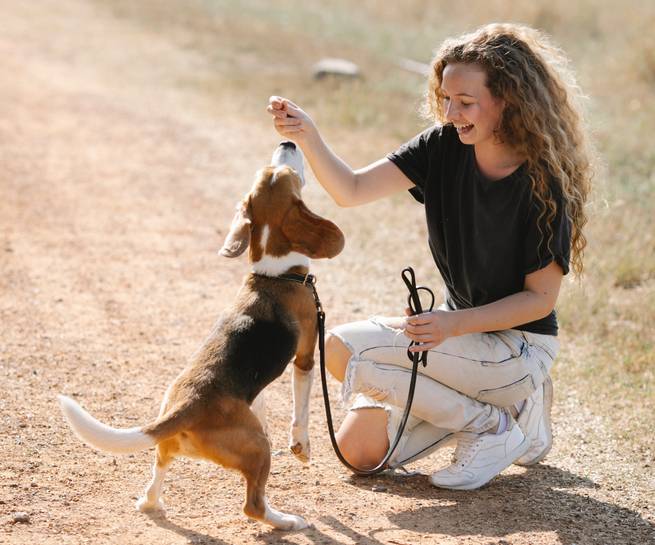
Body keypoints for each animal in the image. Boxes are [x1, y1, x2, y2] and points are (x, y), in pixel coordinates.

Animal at [59, 142, 346, 528]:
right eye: (285, 174)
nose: (287, 143)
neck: (273, 273)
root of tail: (188, 404)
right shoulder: (305, 357)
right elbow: (301, 409)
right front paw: (301, 446)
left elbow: (261, 403)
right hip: (258, 448)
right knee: (253, 505)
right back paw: (287, 521)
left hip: (172, 445)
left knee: (159, 470)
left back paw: (150, 503)